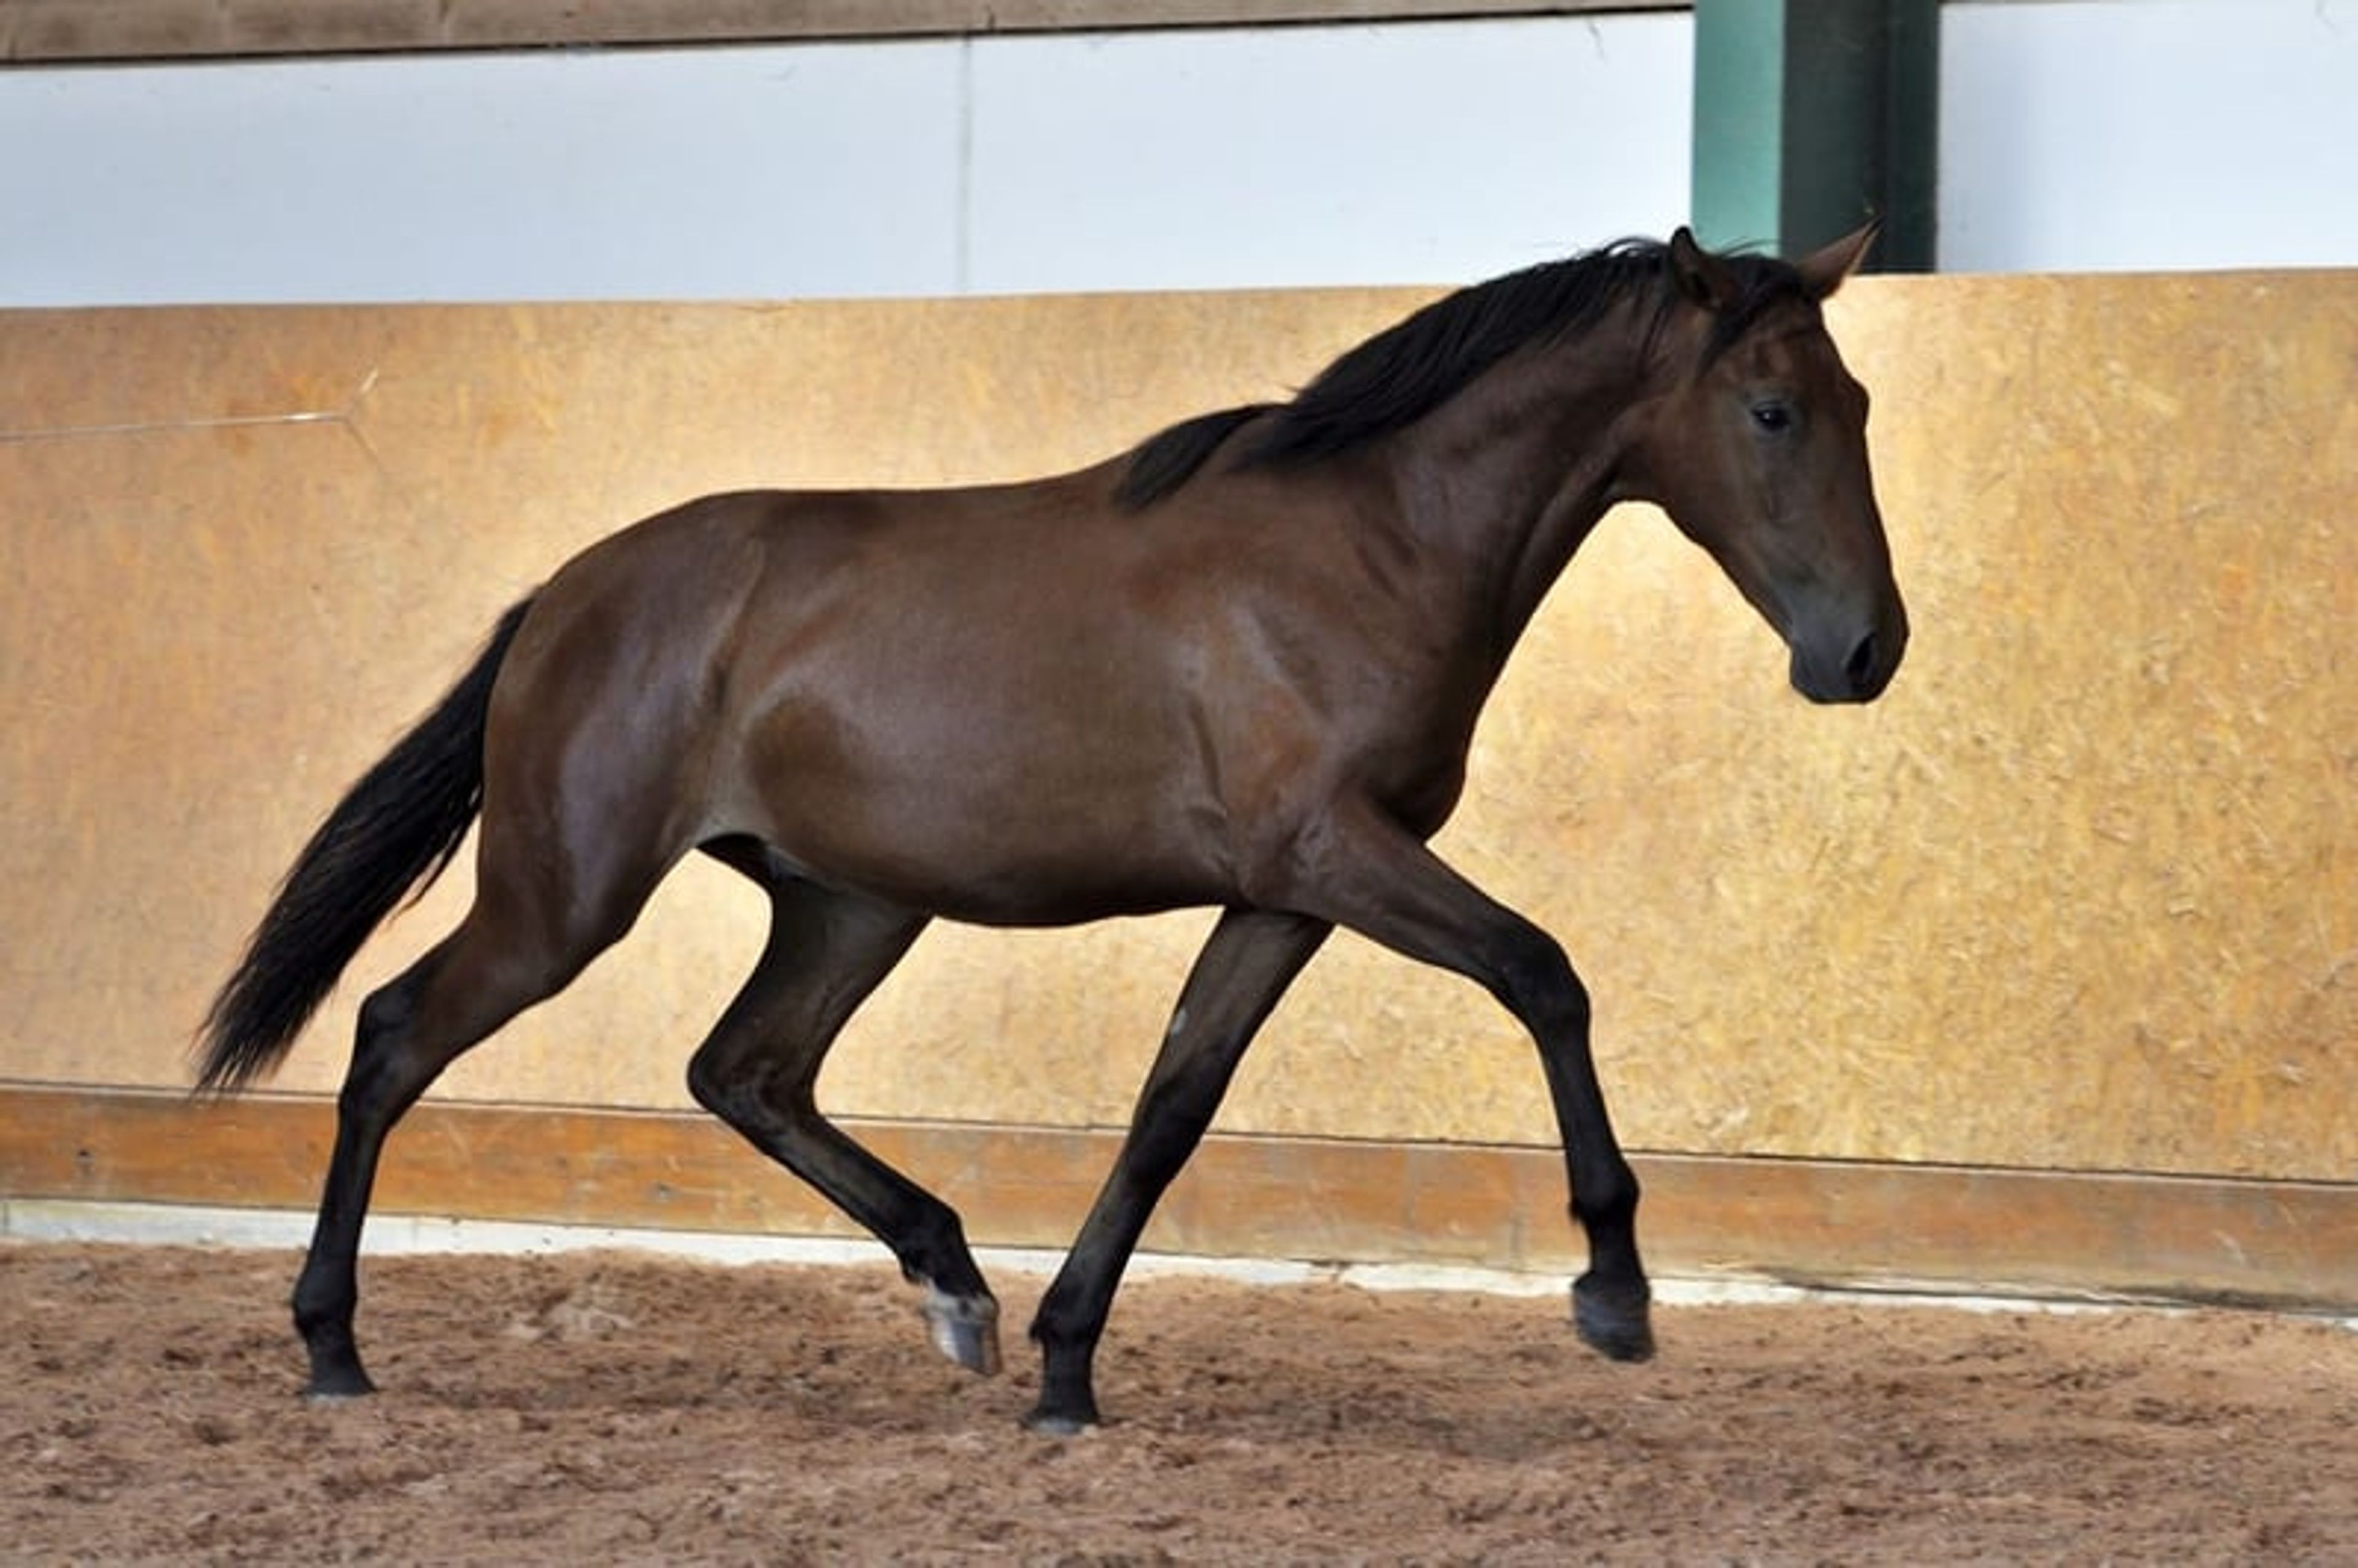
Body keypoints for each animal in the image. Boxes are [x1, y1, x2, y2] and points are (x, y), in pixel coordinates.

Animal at [197, 223, 1905, 1434]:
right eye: (1769, 408)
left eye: (1859, 401)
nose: (1865, 650)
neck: (1367, 545)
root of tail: (565, 591)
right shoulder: (1338, 855)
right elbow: (1544, 972)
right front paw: (1613, 1289)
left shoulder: (1283, 895)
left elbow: (1169, 1107)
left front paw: (1066, 1368)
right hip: (564, 897)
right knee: (395, 1033)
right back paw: (331, 1341)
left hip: (850, 900)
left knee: (747, 1068)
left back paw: (956, 1287)